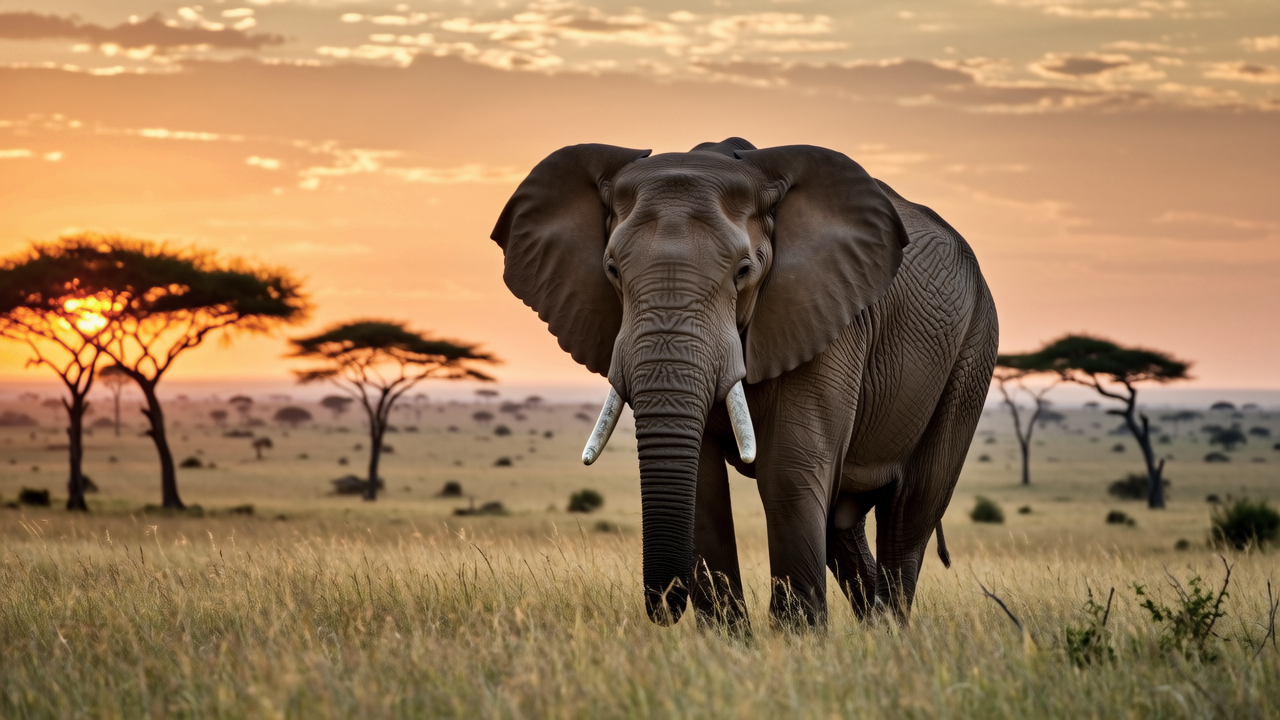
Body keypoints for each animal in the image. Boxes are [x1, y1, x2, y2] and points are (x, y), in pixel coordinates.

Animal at [490, 137, 998, 630]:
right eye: (612, 270)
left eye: (744, 271)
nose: (663, 608)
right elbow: (705, 487)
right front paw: (729, 644)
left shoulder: (824, 315)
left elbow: (788, 473)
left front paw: (796, 642)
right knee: (841, 524)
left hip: (972, 351)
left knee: (909, 511)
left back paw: (891, 634)